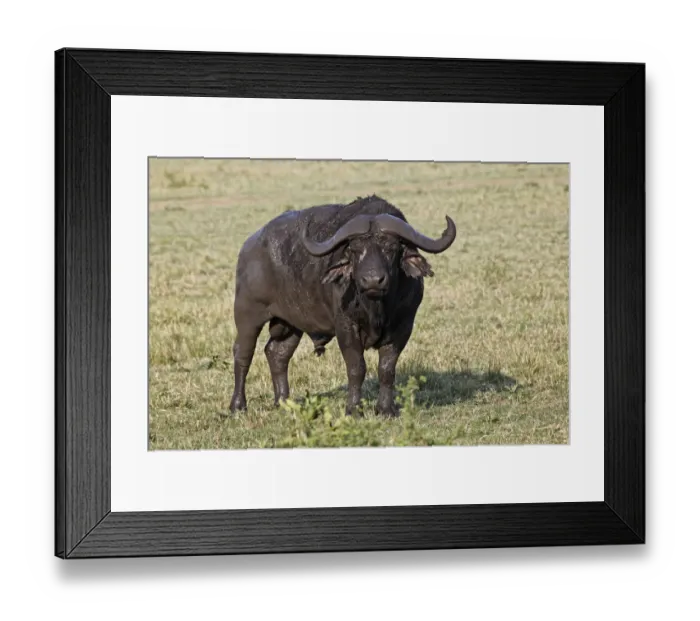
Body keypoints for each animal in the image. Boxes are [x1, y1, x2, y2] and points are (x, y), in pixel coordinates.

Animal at [229, 195, 457, 417]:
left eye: (391, 248)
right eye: (355, 249)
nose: (373, 280)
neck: (375, 307)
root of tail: (249, 246)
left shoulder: (403, 326)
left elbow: (387, 369)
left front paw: (386, 409)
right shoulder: (346, 326)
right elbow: (357, 368)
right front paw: (354, 409)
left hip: (290, 323)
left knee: (277, 353)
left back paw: (284, 403)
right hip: (247, 315)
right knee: (243, 354)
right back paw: (238, 406)